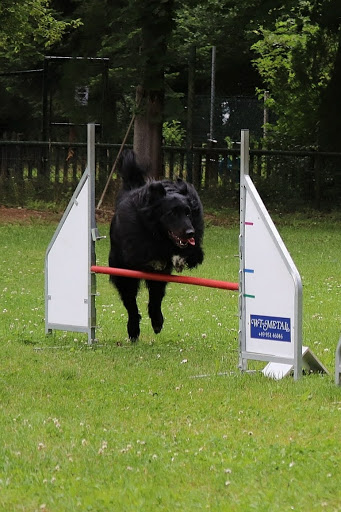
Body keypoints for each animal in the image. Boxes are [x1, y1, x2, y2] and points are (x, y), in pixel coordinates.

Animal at [109, 150, 203, 342]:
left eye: (188, 212)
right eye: (172, 213)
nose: (190, 233)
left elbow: (191, 253)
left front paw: (179, 258)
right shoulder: (135, 246)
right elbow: (147, 253)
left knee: (155, 297)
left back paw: (157, 321)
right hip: (122, 271)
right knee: (130, 302)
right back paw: (133, 329)